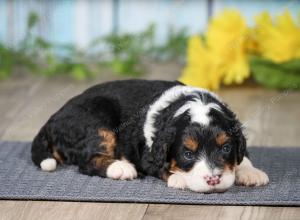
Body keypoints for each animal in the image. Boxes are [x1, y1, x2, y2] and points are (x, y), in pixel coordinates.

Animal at [31, 79, 268, 192]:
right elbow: (160, 166)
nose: (213, 179)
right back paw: (122, 168)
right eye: (188, 154)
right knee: (88, 161)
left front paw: (250, 172)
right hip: (96, 121)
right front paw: (179, 177)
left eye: (226, 148)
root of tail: (53, 118)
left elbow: (242, 155)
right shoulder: (147, 153)